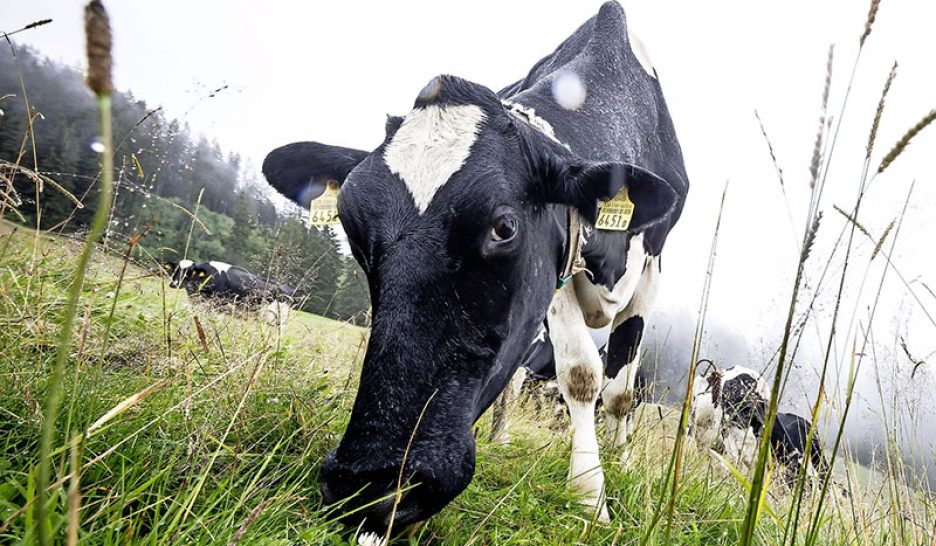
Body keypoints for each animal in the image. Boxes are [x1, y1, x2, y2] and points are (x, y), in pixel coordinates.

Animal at [262, 1, 688, 533]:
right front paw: (591, 491)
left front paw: (608, 479)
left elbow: (619, 394)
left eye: (504, 227)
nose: (372, 487)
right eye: (351, 228)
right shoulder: (557, 275)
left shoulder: (650, 269)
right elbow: (580, 375)